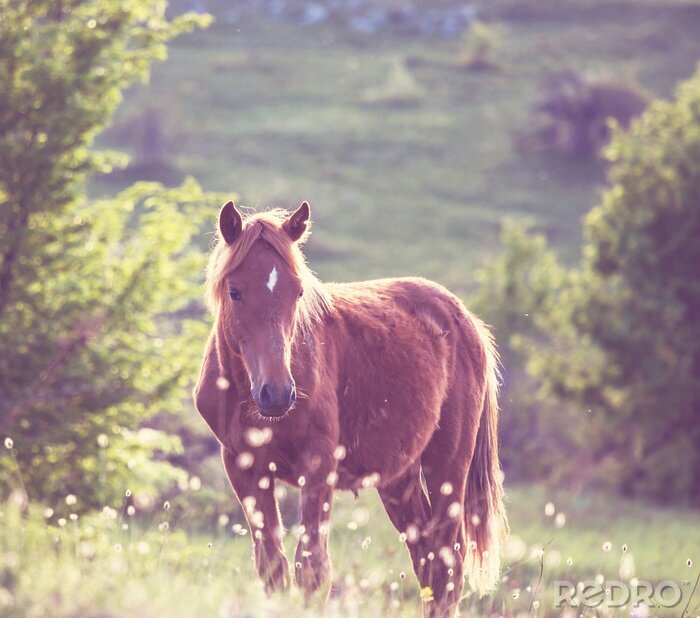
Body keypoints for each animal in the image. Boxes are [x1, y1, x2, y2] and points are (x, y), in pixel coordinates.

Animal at [194, 200, 506, 612]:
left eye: (297, 292)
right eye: (235, 291)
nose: (276, 393)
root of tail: (466, 321)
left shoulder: (318, 465)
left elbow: (311, 567)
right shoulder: (244, 467)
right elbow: (272, 565)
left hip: (448, 464)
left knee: (446, 564)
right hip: (400, 479)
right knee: (427, 561)